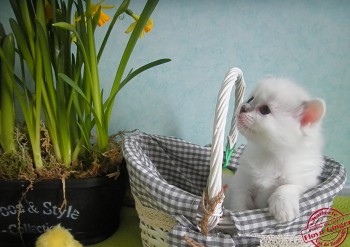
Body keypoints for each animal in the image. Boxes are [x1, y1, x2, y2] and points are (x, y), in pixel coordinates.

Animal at [223, 77, 326, 222]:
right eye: (250, 99)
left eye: (265, 110)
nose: (243, 107)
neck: (269, 154)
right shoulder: (242, 183)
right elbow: (239, 203)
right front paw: (239, 213)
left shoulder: (306, 182)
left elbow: (286, 187)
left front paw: (282, 208)